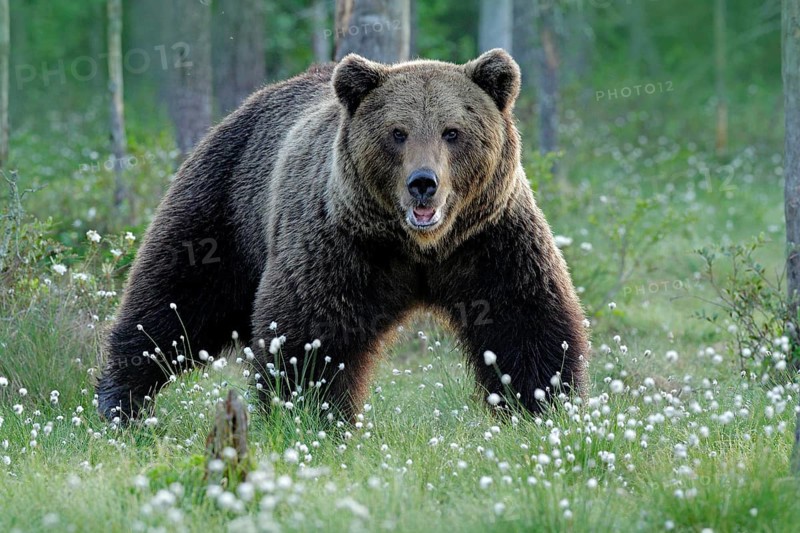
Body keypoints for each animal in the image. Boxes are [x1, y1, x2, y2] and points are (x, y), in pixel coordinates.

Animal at [96, 49, 590, 422]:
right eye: (398, 132)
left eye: (453, 132)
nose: (423, 183)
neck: (420, 248)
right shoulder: (340, 242)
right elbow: (311, 334)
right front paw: (309, 415)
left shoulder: (489, 239)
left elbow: (524, 320)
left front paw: (542, 406)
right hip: (225, 207)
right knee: (174, 301)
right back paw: (120, 402)